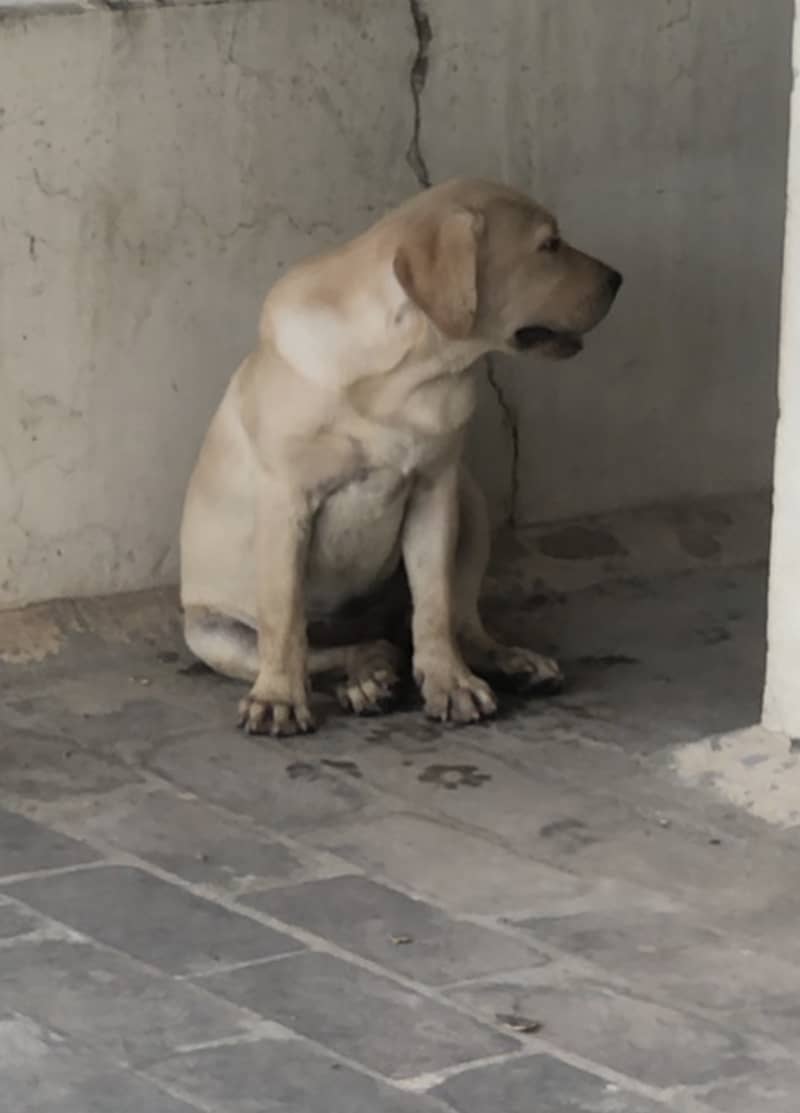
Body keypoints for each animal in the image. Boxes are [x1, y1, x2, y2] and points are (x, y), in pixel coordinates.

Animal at [178, 178, 623, 734]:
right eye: (549, 246)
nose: (618, 280)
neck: (407, 373)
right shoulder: (286, 499)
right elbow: (284, 617)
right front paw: (278, 696)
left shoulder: (435, 491)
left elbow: (433, 607)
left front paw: (450, 683)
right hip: (214, 633)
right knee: (336, 651)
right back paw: (366, 678)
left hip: (470, 501)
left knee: (454, 623)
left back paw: (509, 663)